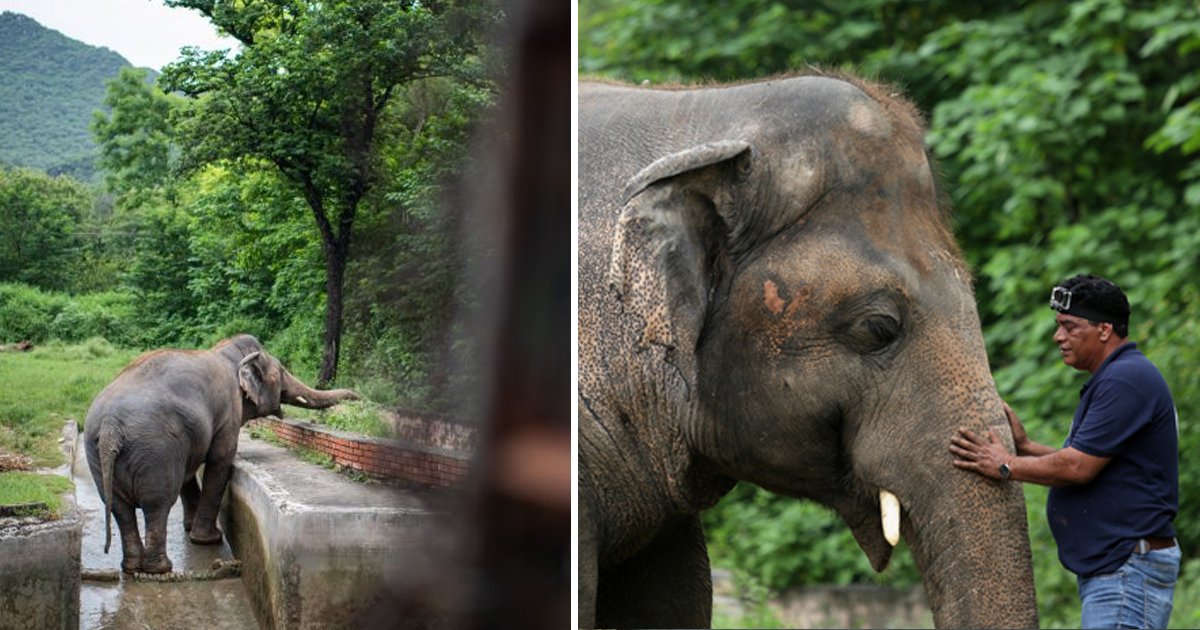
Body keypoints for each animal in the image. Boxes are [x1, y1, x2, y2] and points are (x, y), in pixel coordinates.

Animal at [83, 333, 355, 573]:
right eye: (280, 373)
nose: (356, 397)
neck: (227, 352)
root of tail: (110, 426)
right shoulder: (228, 412)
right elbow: (220, 460)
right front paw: (209, 540)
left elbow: (189, 472)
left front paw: (190, 528)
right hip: (156, 449)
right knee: (157, 504)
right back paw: (159, 569)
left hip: (97, 453)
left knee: (120, 508)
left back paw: (130, 567)